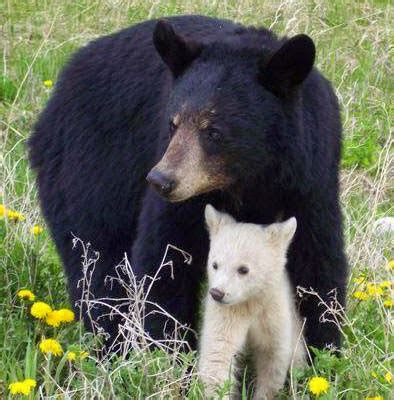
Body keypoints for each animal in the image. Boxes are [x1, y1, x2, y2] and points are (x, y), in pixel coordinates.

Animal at [28, 15, 348, 352]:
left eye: (214, 131)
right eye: (173, 123)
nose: (160, 180)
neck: (249, 179)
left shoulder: (309, 180)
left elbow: (316, 263)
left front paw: (323, 348)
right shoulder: (182, 198)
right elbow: (165, 260)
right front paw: (167, 348)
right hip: (88, 168)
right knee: (97, 258)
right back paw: (110, 341)